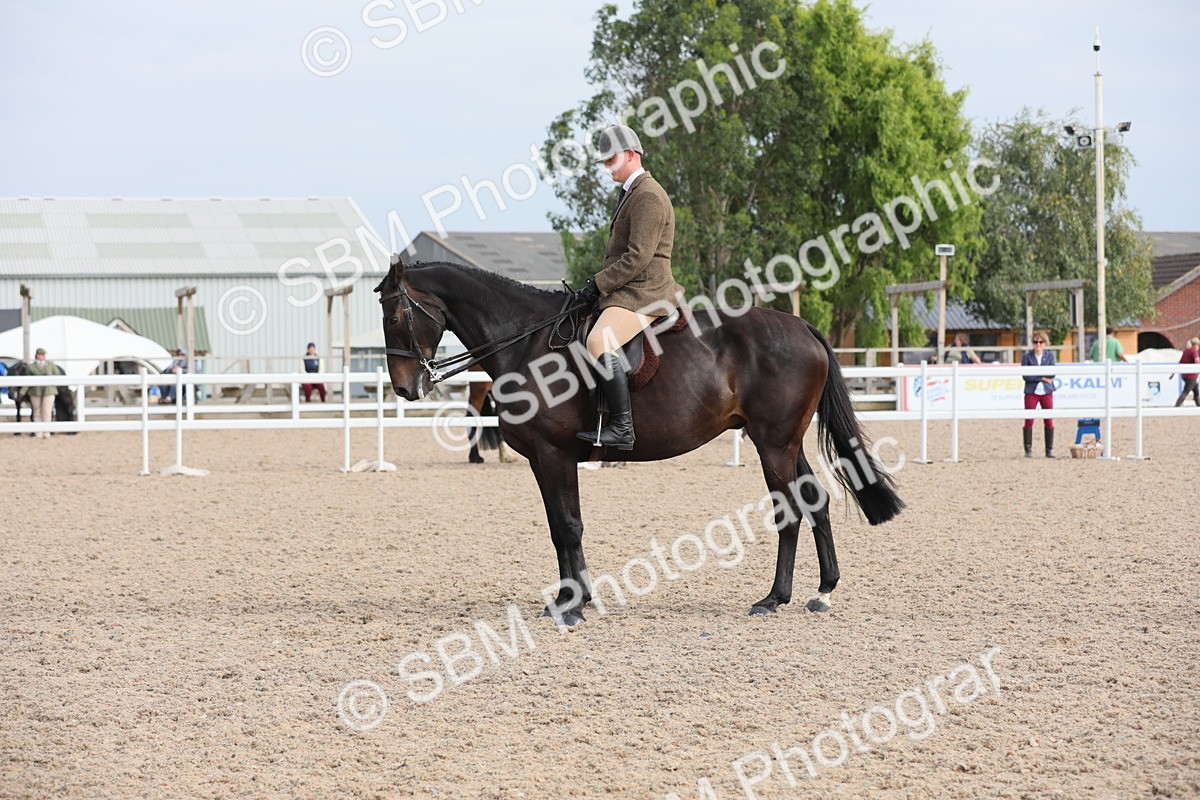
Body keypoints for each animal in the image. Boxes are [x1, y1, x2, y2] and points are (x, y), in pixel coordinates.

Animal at [375, 257, 903, 625]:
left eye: (395, 317)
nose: (404, 388)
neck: (526, 343)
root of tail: (802, 328)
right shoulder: (542, 460)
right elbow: (558, 528)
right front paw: (568, 599)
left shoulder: (554, 454)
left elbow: (569, 526)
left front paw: (573, 606)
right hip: (784, 444)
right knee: (815, 501)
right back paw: (822, 591)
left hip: (773, 445)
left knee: (789, 511)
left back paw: (774, 599)